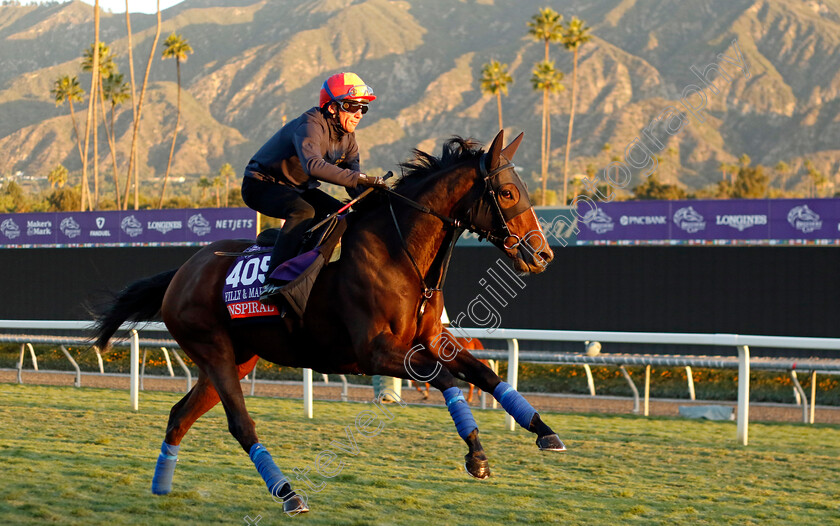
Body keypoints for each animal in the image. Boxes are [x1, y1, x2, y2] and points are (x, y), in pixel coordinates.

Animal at [92, 131, 564, 516]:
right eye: (507, 192)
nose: (543, 255)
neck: (398, 253)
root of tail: (182, 271)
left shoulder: (430, 337)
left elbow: (484, 374)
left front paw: (544, 431)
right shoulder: (374, 352)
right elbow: (445, 378)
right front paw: (476, 455)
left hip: (235, 360)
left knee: (179, 416)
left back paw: (161, 485)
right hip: (214, 352)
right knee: (241, 425)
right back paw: (288, 494)